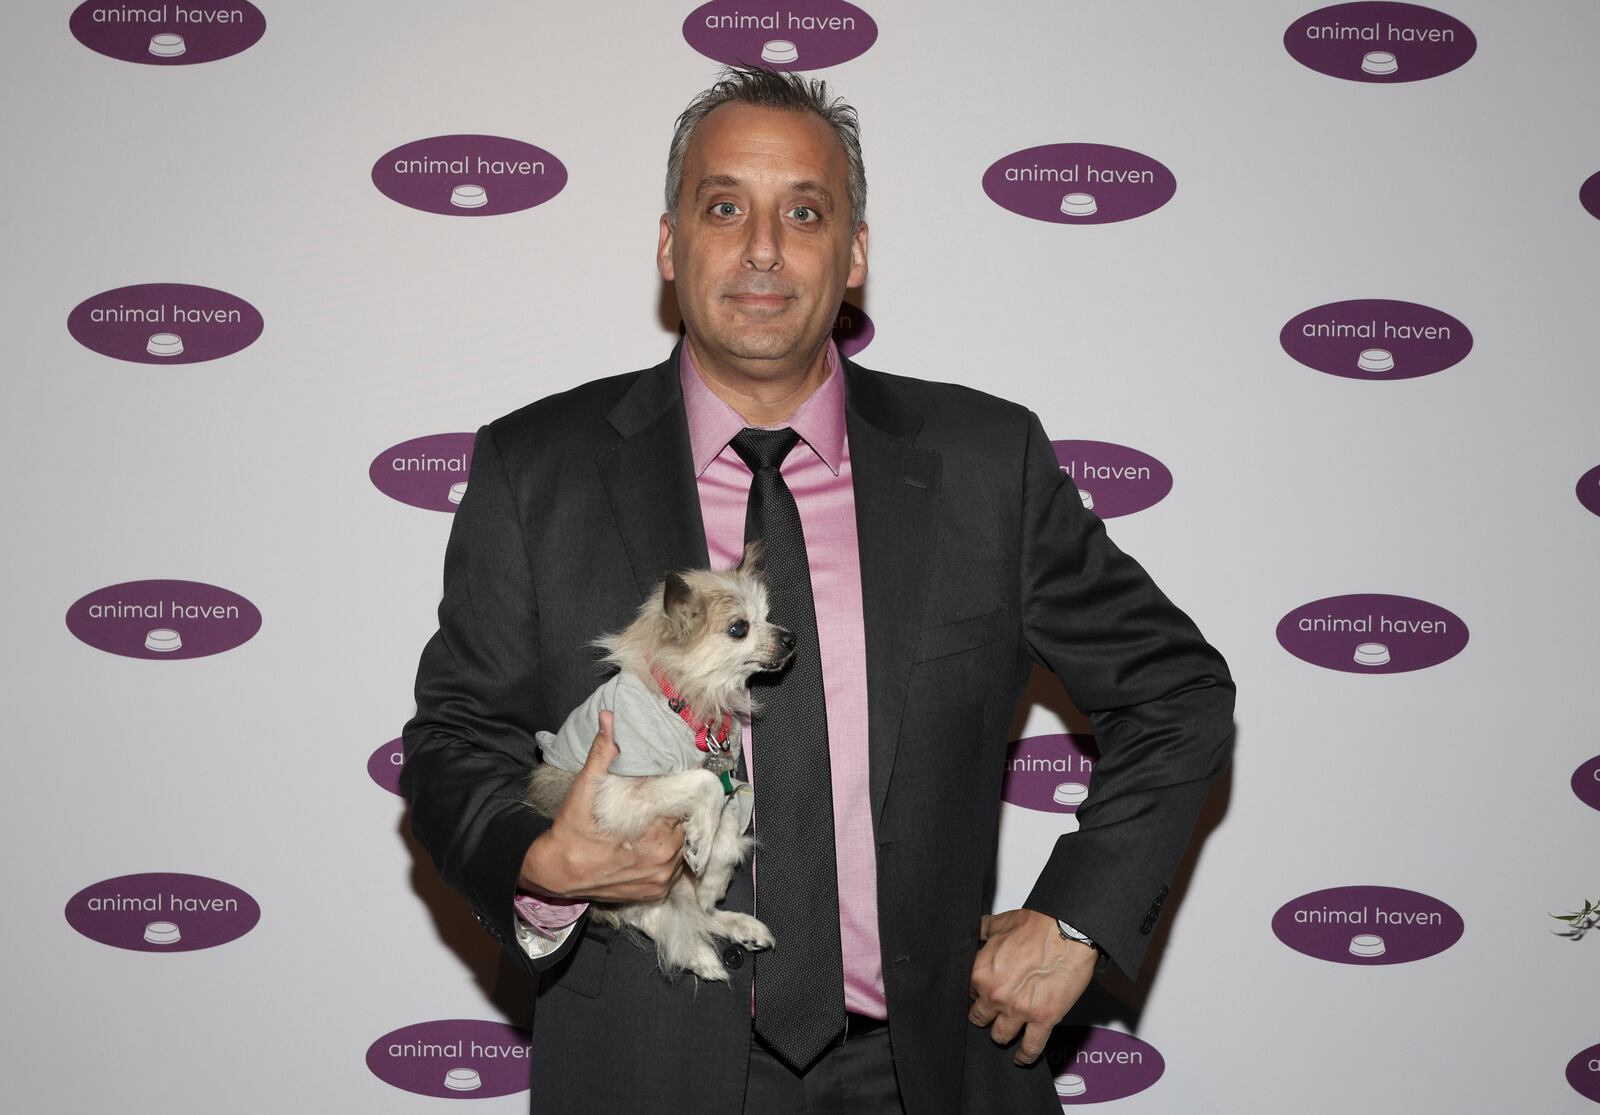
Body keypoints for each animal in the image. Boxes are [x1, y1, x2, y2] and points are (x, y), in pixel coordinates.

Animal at [524, 543, 793, 979]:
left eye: (767, 616)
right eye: (739, 628)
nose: (791, 638)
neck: (685, 704)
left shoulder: (731, 780)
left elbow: (728, 819)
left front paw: (710, 859)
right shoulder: (620, 793)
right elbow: (701, 784)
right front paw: (700, 838)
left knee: (697, 911)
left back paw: (737, 923)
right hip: (618, 889)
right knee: (649, 914)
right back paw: (699, 956)